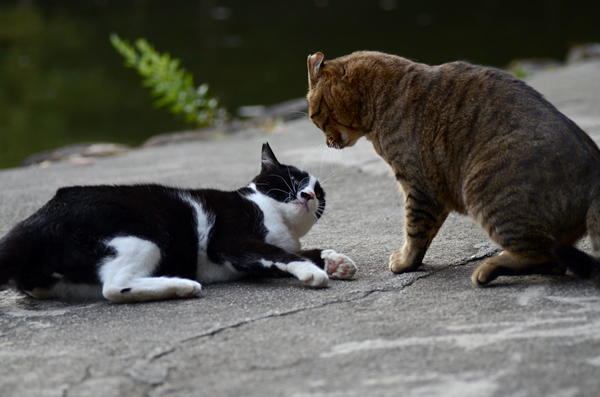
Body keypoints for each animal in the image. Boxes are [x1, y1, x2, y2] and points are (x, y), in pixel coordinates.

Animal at [0, 144, 356, 302]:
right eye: (294, 179)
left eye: (320, 193)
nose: (308, 195)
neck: (273, 215)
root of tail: (36, 221)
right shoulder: (230, 241)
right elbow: (282, 254)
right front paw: (315, 271)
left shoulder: (255, 253)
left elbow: (292, 251)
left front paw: (336, 261)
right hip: (144, 235)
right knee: (114, 287)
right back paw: (182, 285)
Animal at [308, 50, 600, 284]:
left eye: (314, 117)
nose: (328, 143)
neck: (381, 95)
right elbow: (422, 234)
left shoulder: (419, 188)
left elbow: (414, 231)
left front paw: (403, 263)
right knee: (555, 259)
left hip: (482, 189)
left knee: (545, 256)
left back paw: (487, 269)